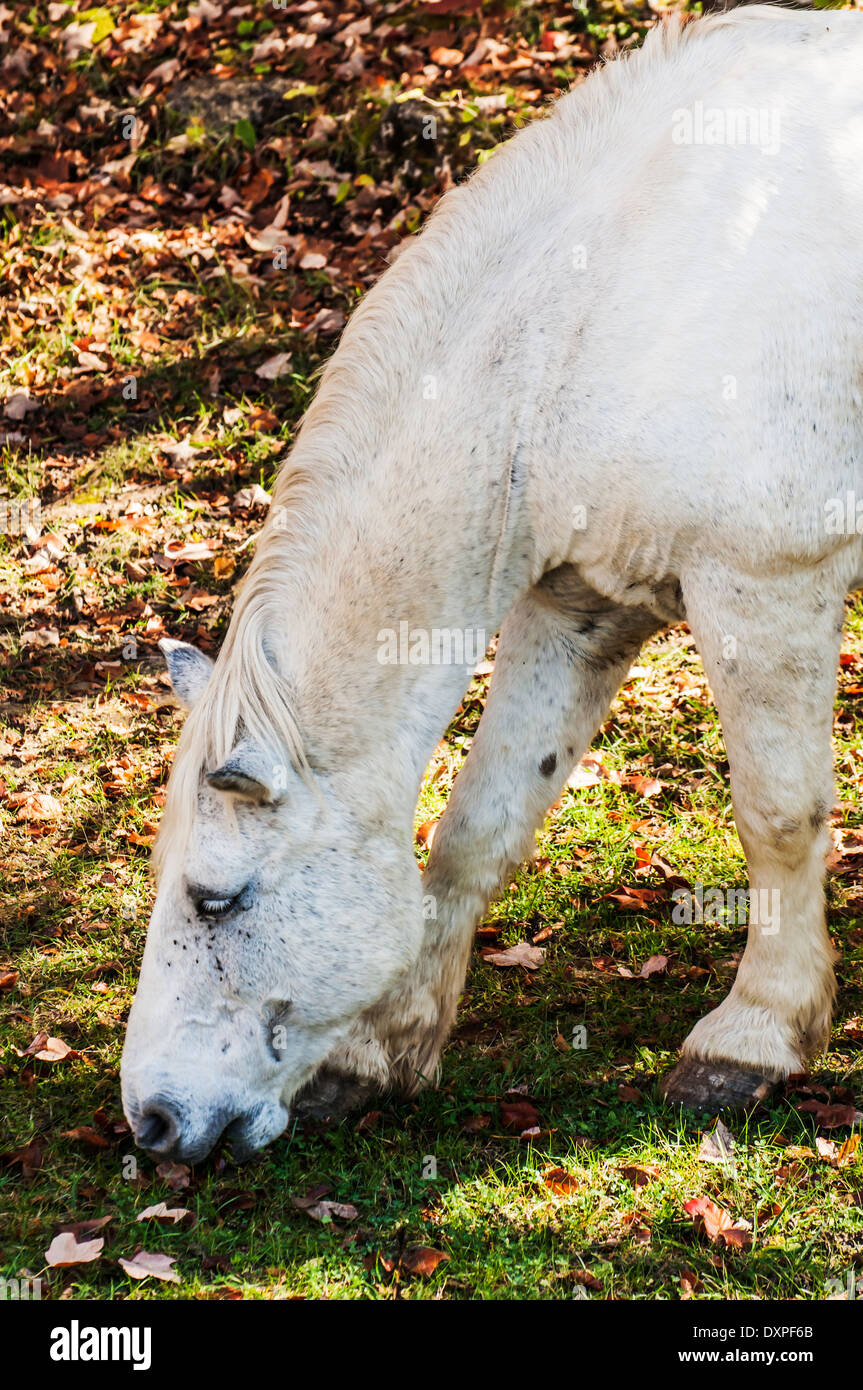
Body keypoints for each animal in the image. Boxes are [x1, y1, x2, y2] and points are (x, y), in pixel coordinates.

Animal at [119, 10, 861, 1162]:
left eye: (214, 898)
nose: (151, 1119)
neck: (609, 311)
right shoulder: (580, 609)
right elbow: (476, 829)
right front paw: (380, 1053)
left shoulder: (763, 586)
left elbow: (777, 816)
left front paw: (753, 1037)